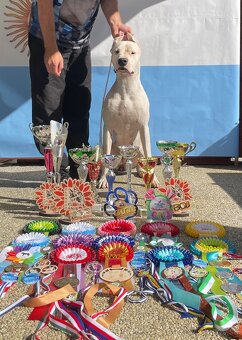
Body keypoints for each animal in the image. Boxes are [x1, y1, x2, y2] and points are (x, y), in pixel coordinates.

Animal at [98, 33, 159, 189]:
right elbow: (106, 159)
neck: (126, 87)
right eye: (116, 52)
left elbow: (149, 155)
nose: (122, 61)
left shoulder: (143, 126)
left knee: (141, 161)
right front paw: (103, 179)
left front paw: (153, 179)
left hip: (139, 148)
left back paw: (141, 171)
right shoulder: (108, 127)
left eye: (132, 52)